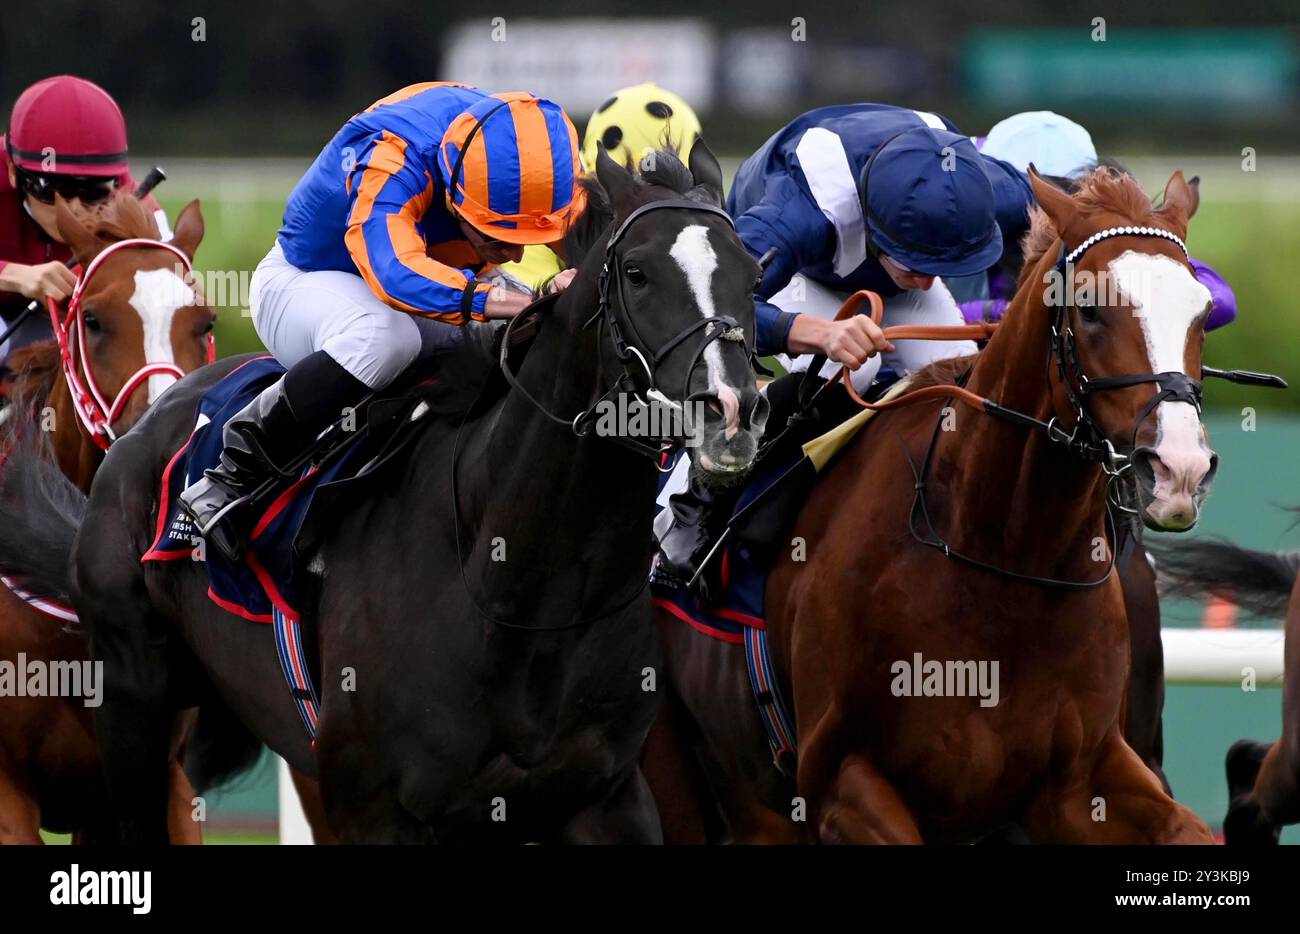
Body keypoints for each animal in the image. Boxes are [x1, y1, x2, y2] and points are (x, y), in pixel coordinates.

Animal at [655, 167, 1222, 848]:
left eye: (1202, 310)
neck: (1000, 558)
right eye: (1088, 309)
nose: (1179, 469)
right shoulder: (843, 781)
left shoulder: (1080, 779)